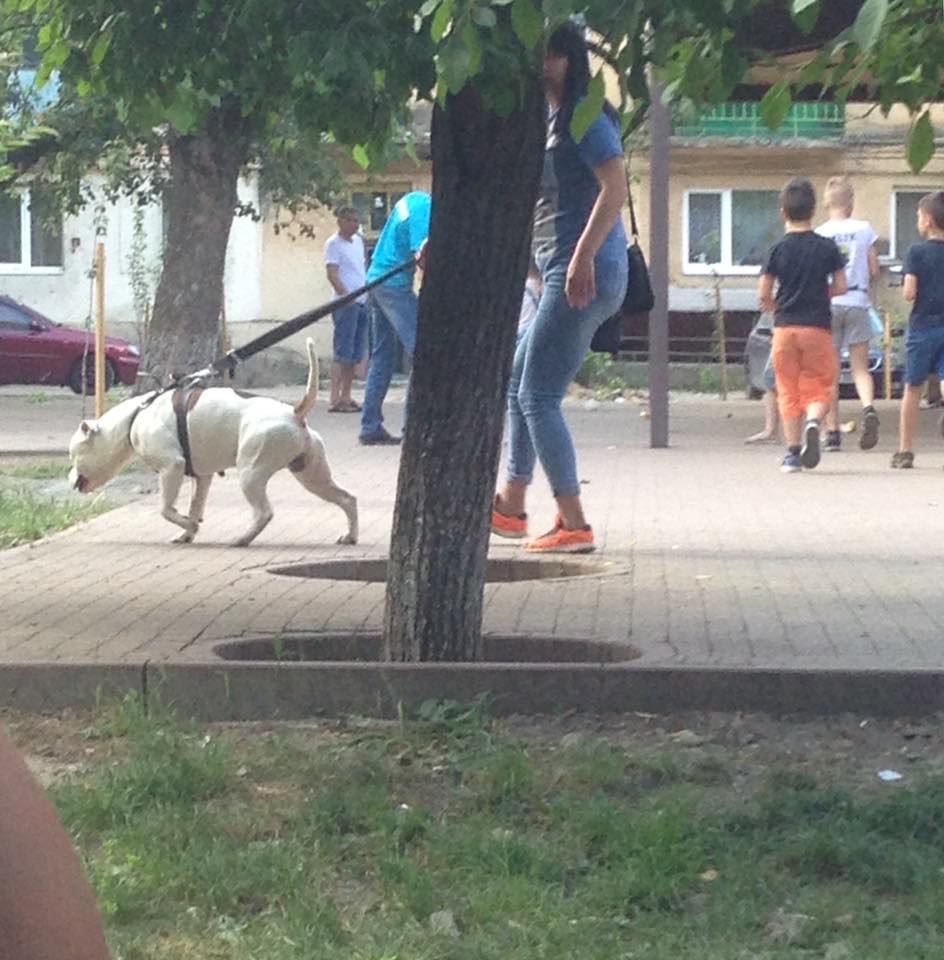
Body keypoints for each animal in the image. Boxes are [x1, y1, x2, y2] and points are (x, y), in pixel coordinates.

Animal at [68, 340, 358, 548]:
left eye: (73, 455)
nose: (69, 477)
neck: (133, 418)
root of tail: (295, 413)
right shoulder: (202, 476)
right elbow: (195, 506)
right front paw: (187, 533)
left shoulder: (172, 468)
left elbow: (165, 509)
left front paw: (190, 526)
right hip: (312, 475)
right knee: (347, 498)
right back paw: (350, 536)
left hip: (251, 472)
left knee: (264, 512)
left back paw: (242, 539)